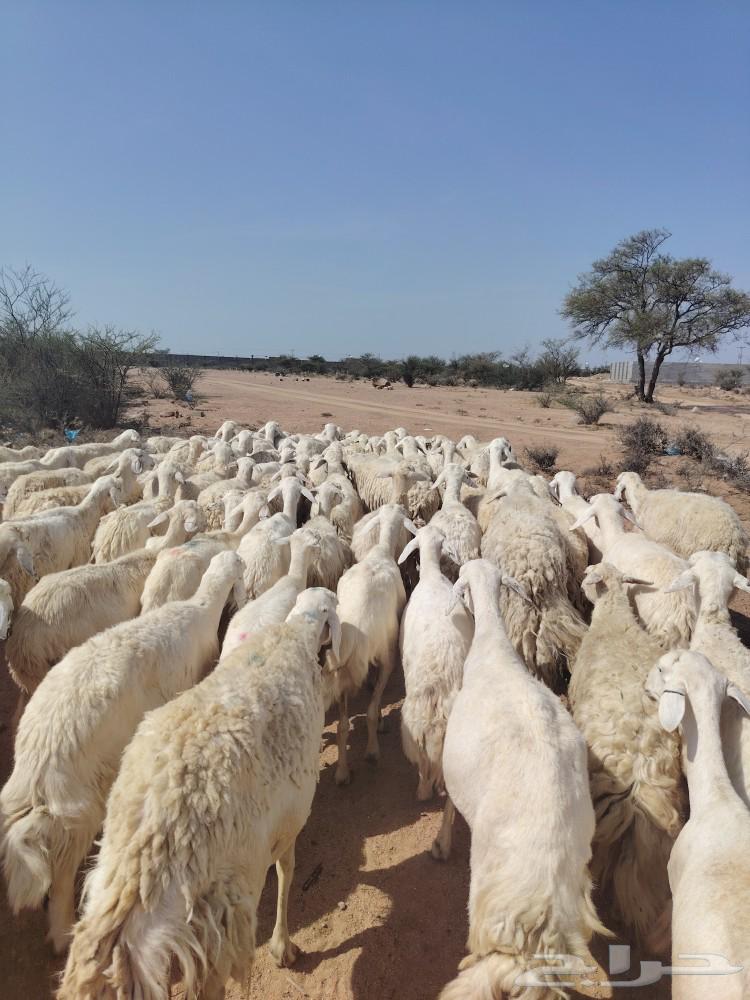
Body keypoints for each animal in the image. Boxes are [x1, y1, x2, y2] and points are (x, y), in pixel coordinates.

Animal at [58, 587, 340, 999]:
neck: (295, 635)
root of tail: (150, 851)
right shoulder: (290, 819)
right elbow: (287, 871)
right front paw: (282, 946)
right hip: (224, 906)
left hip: (106, 881)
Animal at [330, 505, 415, 785]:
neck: (382, 550)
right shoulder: (387, 659)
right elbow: (373, 705)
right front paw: (378, 725)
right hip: (386, 655)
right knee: (367, 711)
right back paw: (372, 751)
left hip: (340, 675)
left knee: (342, 726)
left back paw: (342, 772)